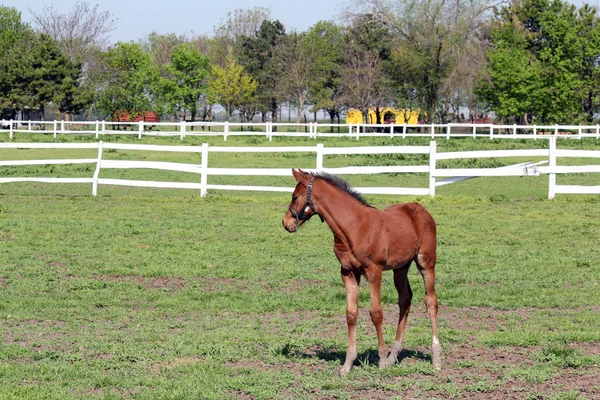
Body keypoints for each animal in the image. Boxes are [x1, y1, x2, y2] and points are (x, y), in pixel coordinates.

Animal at [282, 170, 440, 376]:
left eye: (295, 197)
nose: (285, 223)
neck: (355, 227)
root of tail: (420, 208)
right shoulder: (348, 272)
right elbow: (351, 313)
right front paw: (348, 364)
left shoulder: (374, 271)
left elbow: (376, 313)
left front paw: (381, 360)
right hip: (400, 267)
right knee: (405, 300)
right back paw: (394, 355)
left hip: (426, 263)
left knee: (431, 301)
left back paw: (436, 358)